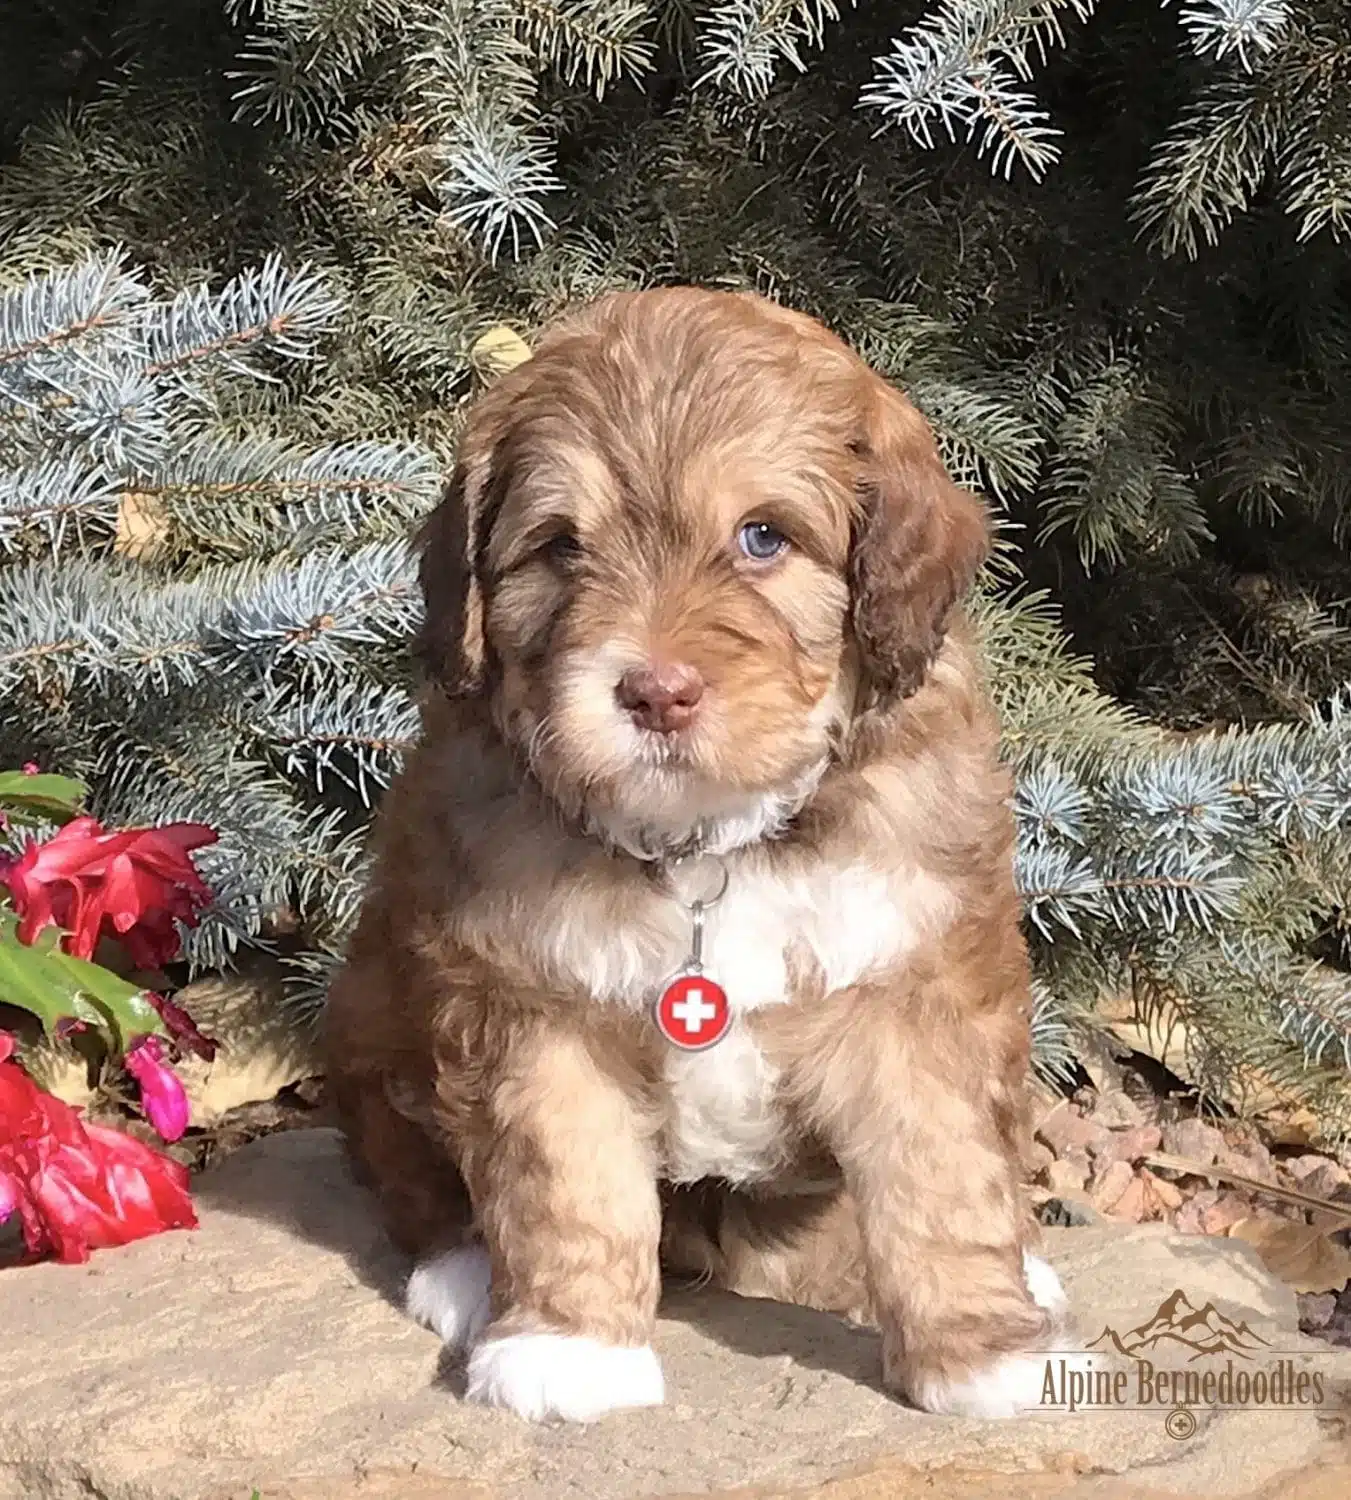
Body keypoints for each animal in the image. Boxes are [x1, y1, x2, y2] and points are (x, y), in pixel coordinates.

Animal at [323, 286, 1067, 1422]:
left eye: (763, 538)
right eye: (560, 549)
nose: (655, 691)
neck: (713, 844)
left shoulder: (917, 978)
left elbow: (941, 1174)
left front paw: (984, 1352)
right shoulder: (530, 997)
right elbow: (566, 1178)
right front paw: (568, 1349)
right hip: (376, 1015)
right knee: (404, 1159)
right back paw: (465, 1275)